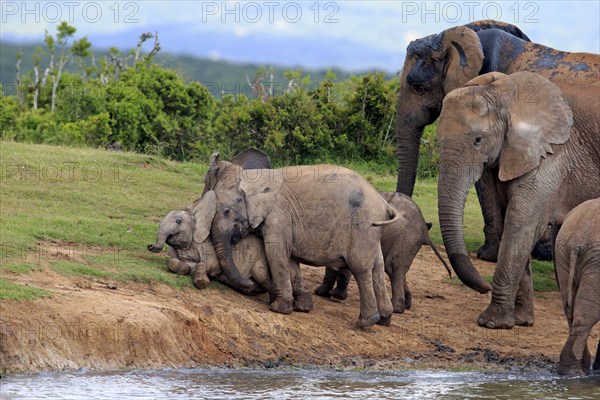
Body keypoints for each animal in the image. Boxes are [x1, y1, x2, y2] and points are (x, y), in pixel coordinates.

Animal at [203, 152, 404, 326]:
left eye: (226, 211)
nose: (251, 285)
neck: (250, 177)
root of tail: (384, 204)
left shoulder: (278, 214)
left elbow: (276, 252)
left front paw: (279, 308)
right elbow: (290, 258)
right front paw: (302, 306)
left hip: (362, 225)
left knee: (361, 267)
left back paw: (366, 322)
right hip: (372, 230)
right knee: (377, 266)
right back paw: (385, 319)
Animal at [314, 192, 450, 314]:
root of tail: (424, 230)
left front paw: (330, 294)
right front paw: (322, 293)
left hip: (406, 237)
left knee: (393, 268)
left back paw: (396, 309)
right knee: (398, 269)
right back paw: (406, 305)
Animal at [436, 72, 600, 328]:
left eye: (478, 140)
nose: (484, 287)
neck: (505, 94)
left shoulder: (552, 155)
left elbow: (521, 223)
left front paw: (491, 323)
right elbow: (510, 223)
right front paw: (520, 321)